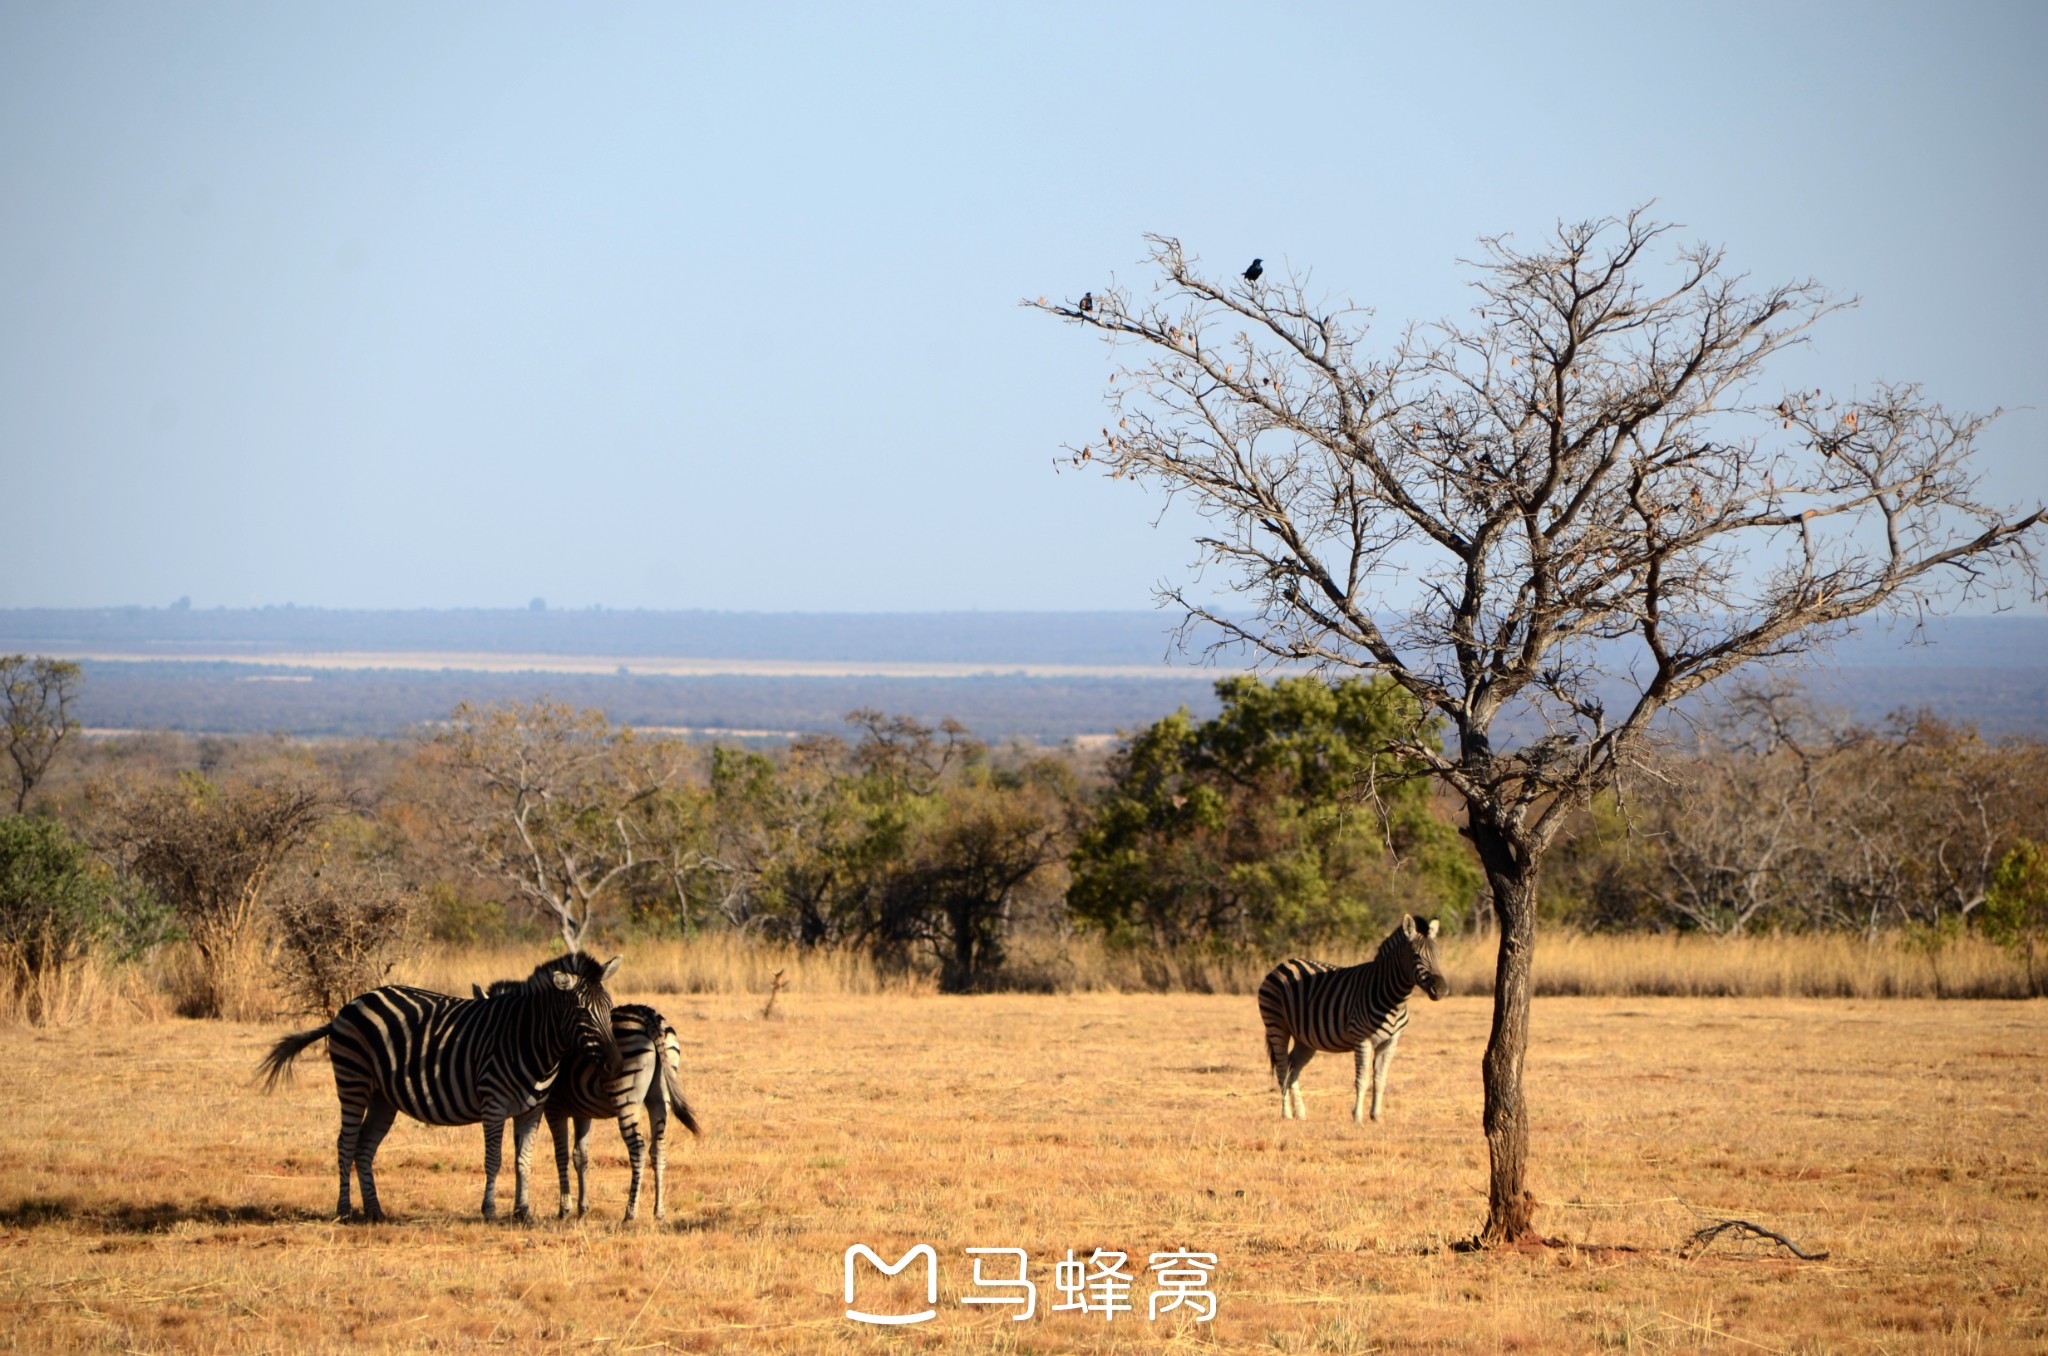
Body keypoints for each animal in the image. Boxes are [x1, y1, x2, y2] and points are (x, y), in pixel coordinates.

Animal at [262, 950, 622, 1229]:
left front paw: (523, 1212)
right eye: (581, 1011)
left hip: (382, 1097)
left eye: (609, 1006)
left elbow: (524, 1160)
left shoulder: (531, 1109)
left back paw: (375, 1211)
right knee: (346, 1143)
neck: (529, 1038)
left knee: (364, 1146)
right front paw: (489, 1212)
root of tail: (350, 1004)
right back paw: (345, 1211)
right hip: (353, 1081)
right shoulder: (493, 1104)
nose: (615, 1063)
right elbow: (494, 1160)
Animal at [473, 983, 704, 1229]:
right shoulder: (582, 1111)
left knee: (638, 1148)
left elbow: (561, 1155)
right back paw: (659, 1211)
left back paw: (630, 1212)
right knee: (658, 1148)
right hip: (660, 1097)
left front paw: (564, 1208)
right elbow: (581, 1156)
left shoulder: (554, 1108)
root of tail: (647, 1016)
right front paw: (583, 1208)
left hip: (626, 1095)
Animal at [1253, 917, 1449, 1130]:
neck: (1394, 999)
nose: (1441, 990)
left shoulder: (1391, 1042)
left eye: (1439, 954)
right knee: (1282, 1069)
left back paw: (1301, 1114)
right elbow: (1362, 1080)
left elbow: (1380, 1079)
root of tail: (1284, 963)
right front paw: (1357, 1117)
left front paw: (1377, 1116)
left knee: (1292, 1068)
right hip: (1277, 1026)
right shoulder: (1362, 1038)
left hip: (1304, 1038)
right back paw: (1287, 1114)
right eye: (1416, 956)